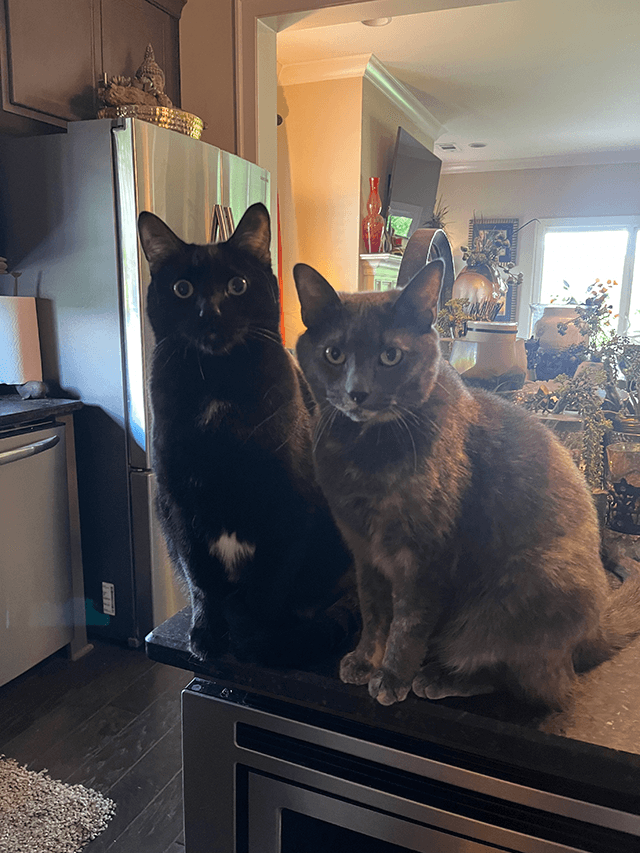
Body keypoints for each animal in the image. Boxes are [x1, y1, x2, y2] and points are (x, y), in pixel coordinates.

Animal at [137, 203, 352, 664]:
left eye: (237, 286)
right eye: (182, 289)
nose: (211, 314)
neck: (219, 384)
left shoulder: (290, 505)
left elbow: (270, 587)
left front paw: (258, 640)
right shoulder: (177, 502)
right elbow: (200, 577)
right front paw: (207, 633)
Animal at [294, 256, 640, 708]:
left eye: (391, 355)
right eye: (333, 354)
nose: (357, 392)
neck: (366, 456)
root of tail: (595, 629)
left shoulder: (426, 557)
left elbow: (408, 624)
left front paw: (391, 677)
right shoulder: (364, 552)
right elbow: (374, 614)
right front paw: (364, 660)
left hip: (517, 595)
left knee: (535, 682)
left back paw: (439, 677)